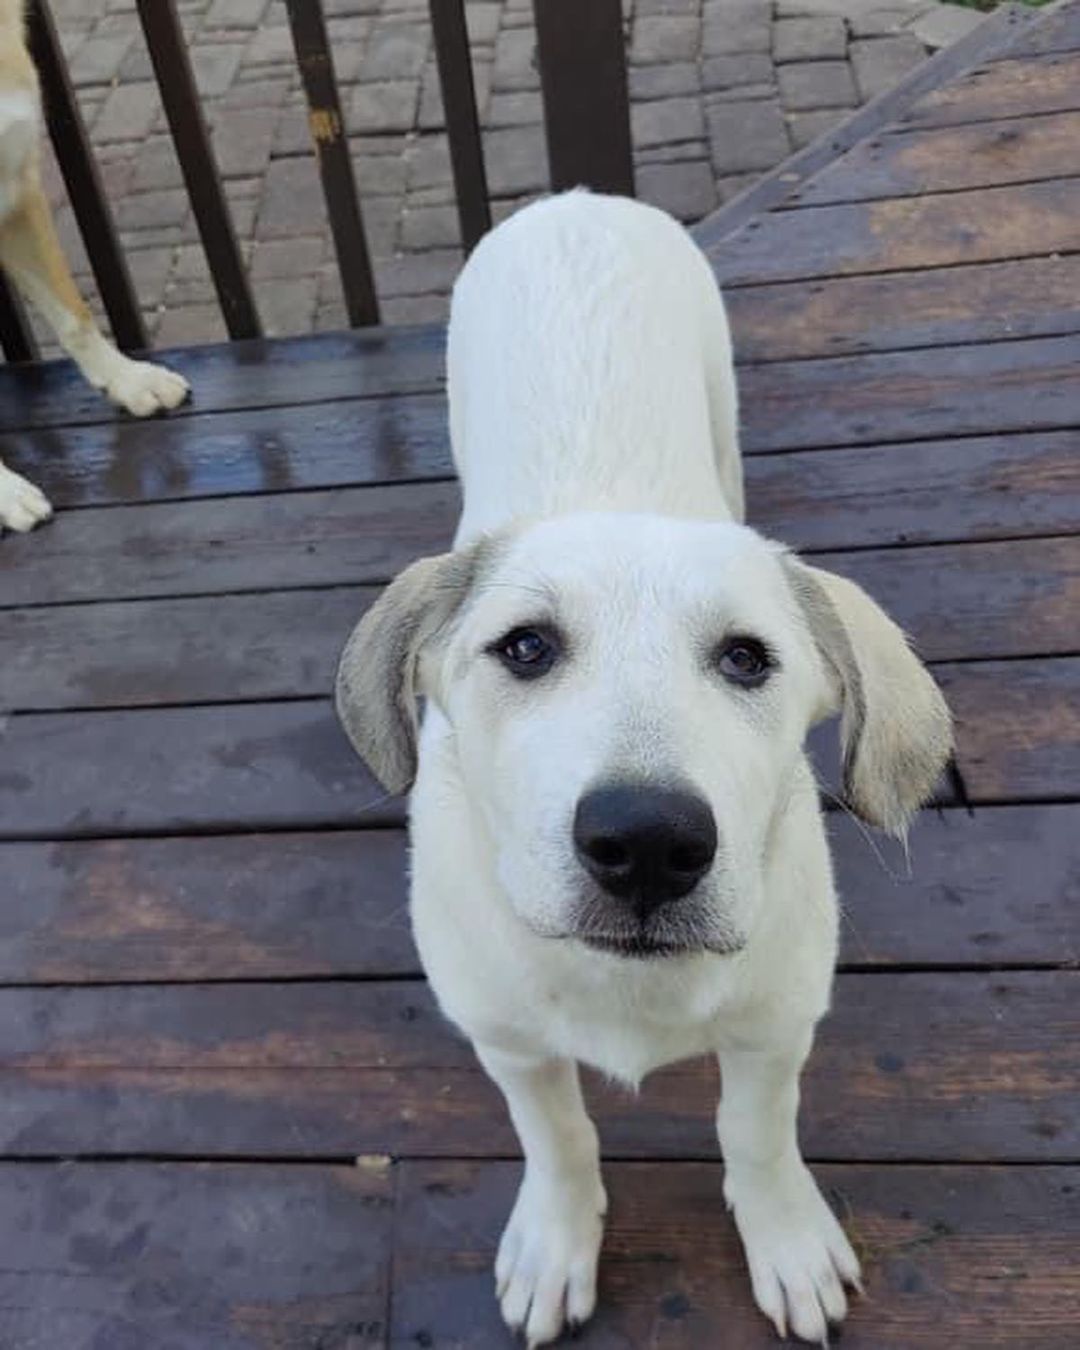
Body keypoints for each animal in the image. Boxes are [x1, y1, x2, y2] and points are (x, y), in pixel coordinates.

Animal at [337, 193, 955, 1350]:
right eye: (526, 647)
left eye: (749, 659)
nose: (649, 845)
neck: (628, 981)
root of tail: (575, 199)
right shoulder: (506, 1040)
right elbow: (558, 1135)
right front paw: (557, 1241)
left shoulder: (775, 1026)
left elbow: (756, 1133)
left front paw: (787, 1240)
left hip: (720, 395)